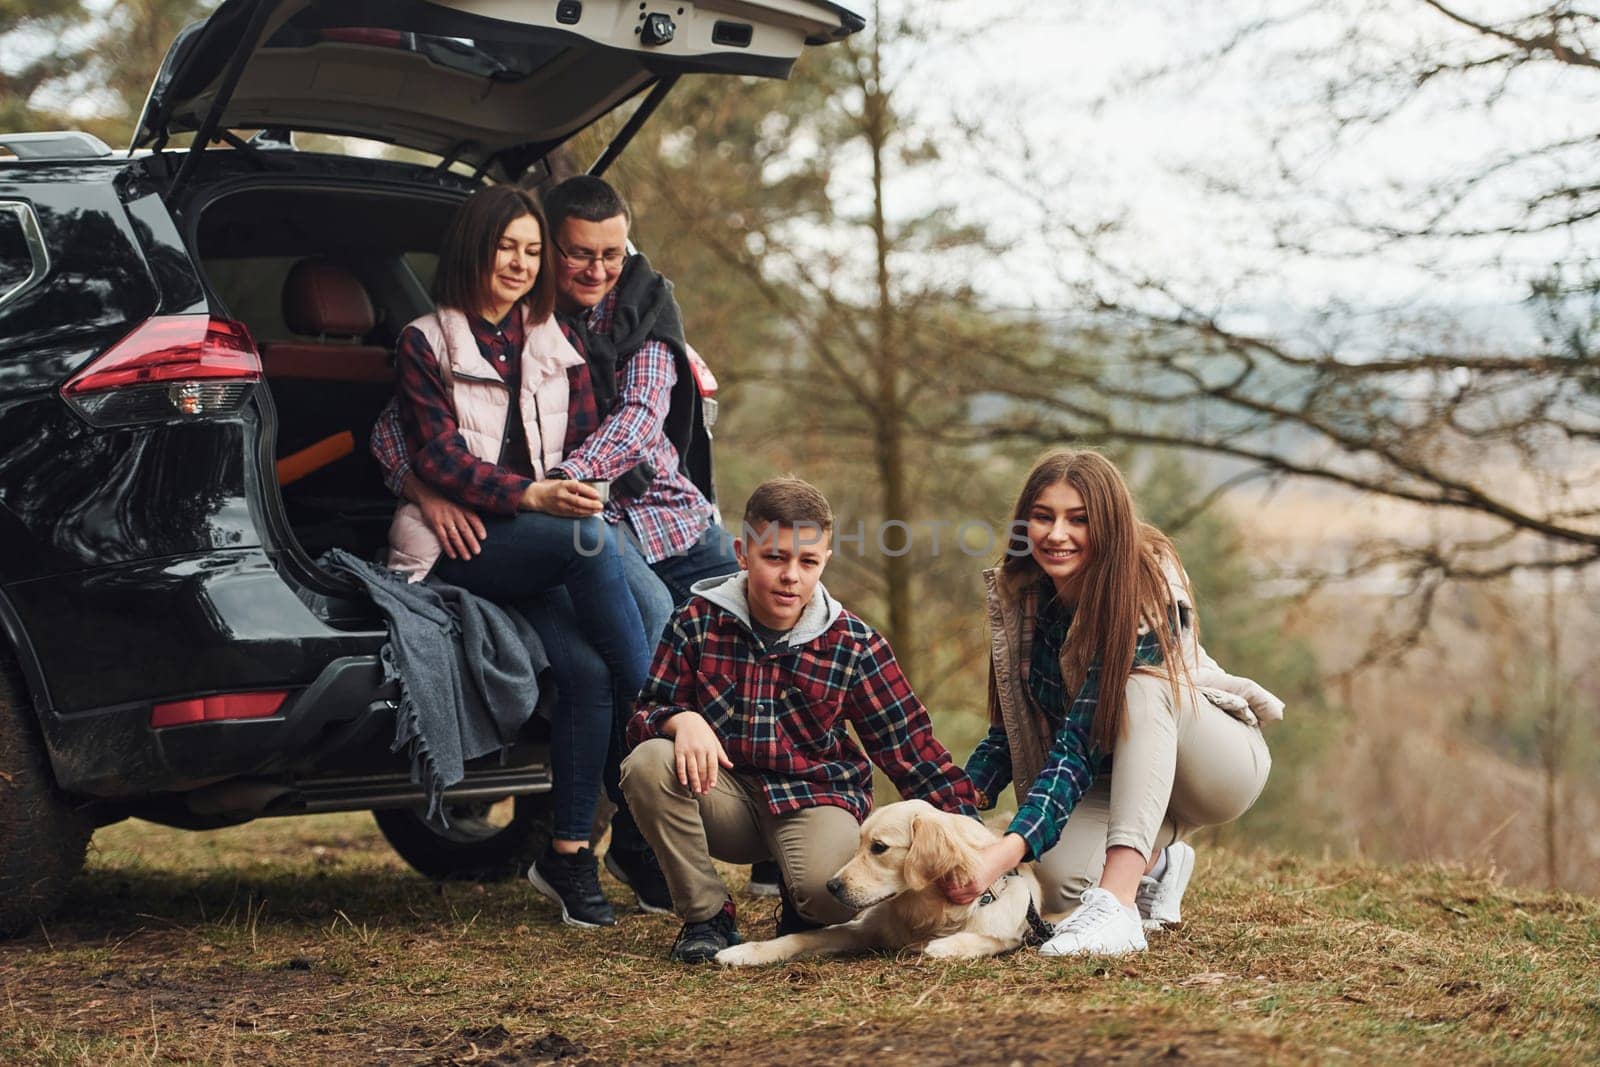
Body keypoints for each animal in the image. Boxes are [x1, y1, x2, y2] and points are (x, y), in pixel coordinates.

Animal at [716, 799, 1049, 966]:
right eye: (860, 843)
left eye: (879, 847)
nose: (831, 886)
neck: (927, 909)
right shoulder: (862, 928)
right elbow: (803, 937)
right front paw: (744, 952)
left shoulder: (1009, 926)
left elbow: (987, 938)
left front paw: (943, 946)